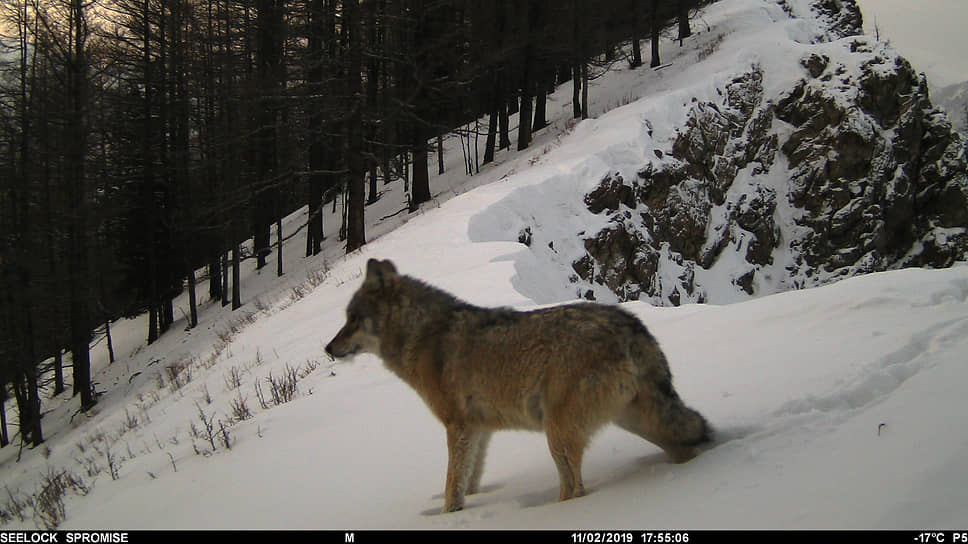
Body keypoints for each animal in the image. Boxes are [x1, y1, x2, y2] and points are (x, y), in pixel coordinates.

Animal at [326, 260, 712, 516]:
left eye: (353, 319)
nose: (328, 349)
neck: (420, 335)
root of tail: (631, 324)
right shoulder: (478, 429)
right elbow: (470, 479)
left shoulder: (457, 426)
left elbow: (453, 484)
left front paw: (448, 516)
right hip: (634, 420)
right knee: (685, 440)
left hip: (558, 436)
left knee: (574, 490)